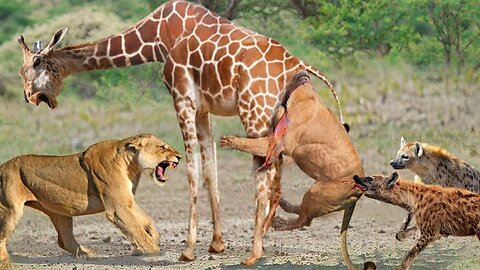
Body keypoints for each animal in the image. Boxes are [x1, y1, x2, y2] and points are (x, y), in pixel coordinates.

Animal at [16, 0, 352, 266]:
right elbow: (211, 171)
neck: (155, 38)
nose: (30, 97)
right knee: (275, 171)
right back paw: (266, 236)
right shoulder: (203, 110)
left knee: (265, 172)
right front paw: (217, 244)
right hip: (272, 118)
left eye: (33, 65)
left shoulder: (182, 99)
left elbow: (192, 170)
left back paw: (254, 253)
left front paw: (189, 250)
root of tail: (297, 65)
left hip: (253, 111)